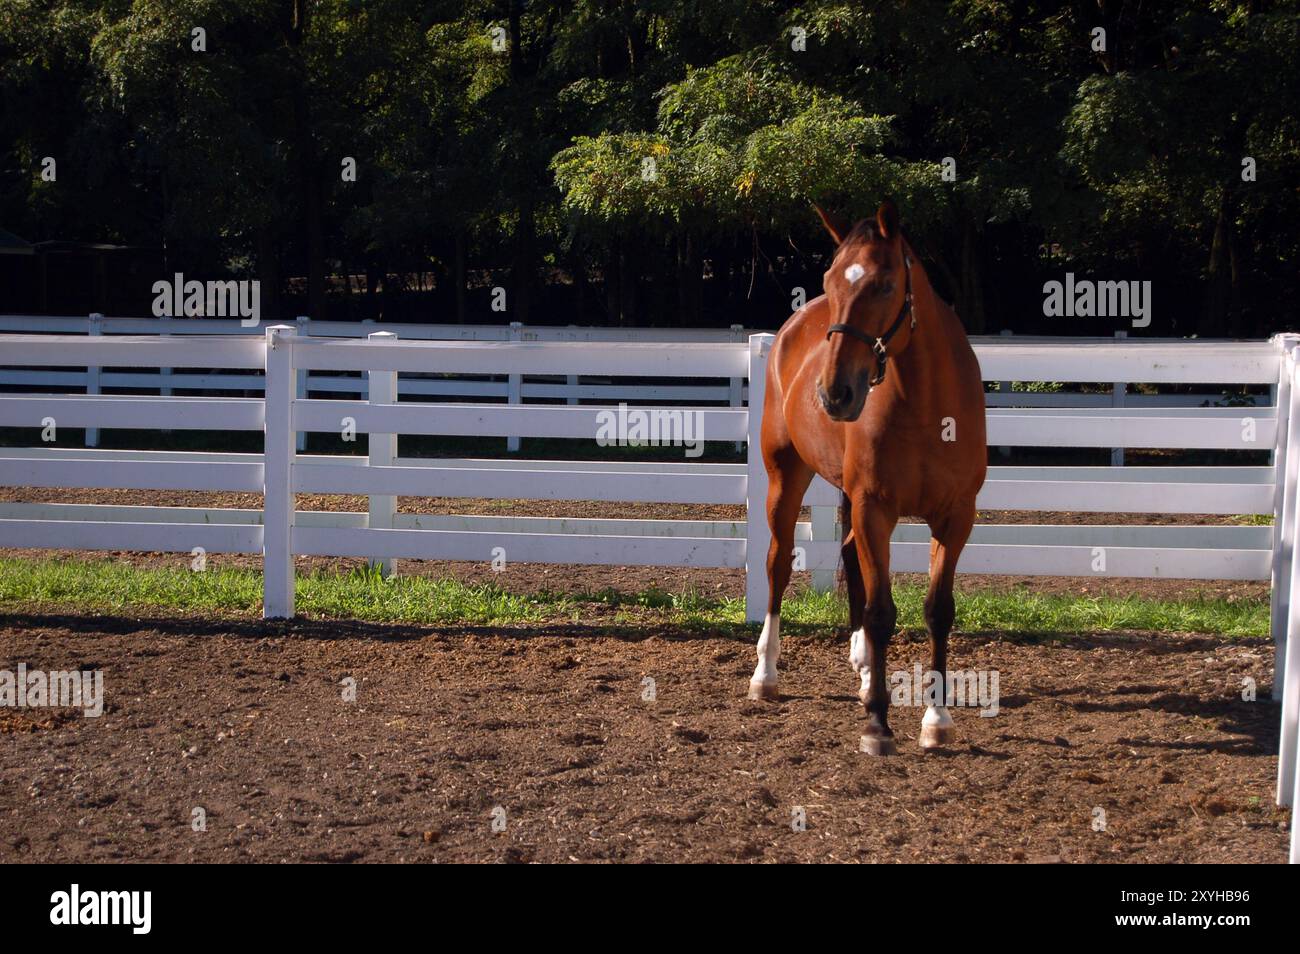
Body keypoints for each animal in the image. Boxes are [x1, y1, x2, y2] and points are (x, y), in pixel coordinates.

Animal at [748, 199, 987, 755]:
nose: (835, 393)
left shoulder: (955, 517)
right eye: (831, 279)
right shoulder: (874, 507)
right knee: (777, 564)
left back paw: (861, 671)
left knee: (849, 557)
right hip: (784, 476)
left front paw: (936, 718)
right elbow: (881, 612)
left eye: (883, 285)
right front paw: (878, 724)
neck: (927, 409)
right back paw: (766, 675)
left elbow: (938, 610)